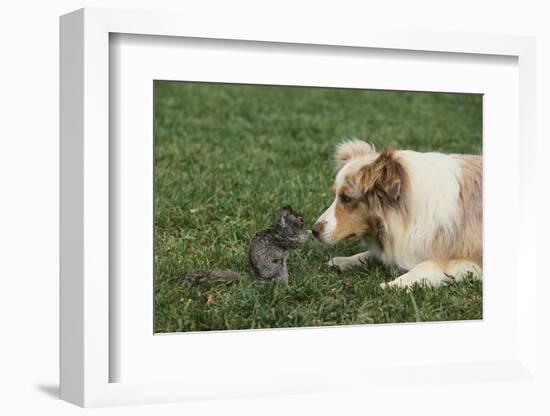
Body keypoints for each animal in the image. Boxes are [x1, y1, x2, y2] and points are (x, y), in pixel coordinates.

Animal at [181, 206, 310, 288]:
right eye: (300, 219)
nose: (304, 220)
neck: (279, 229)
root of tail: (257, 281)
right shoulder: (286, 239)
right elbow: (299, 242)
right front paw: (308, 232)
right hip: (279, 269)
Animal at [312, 138, 486, 288]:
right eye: (335, 195)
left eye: (346, 198)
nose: (313, 231)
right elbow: (369, 254)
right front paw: (343, 261)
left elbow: (428, 264)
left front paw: (392, 285)